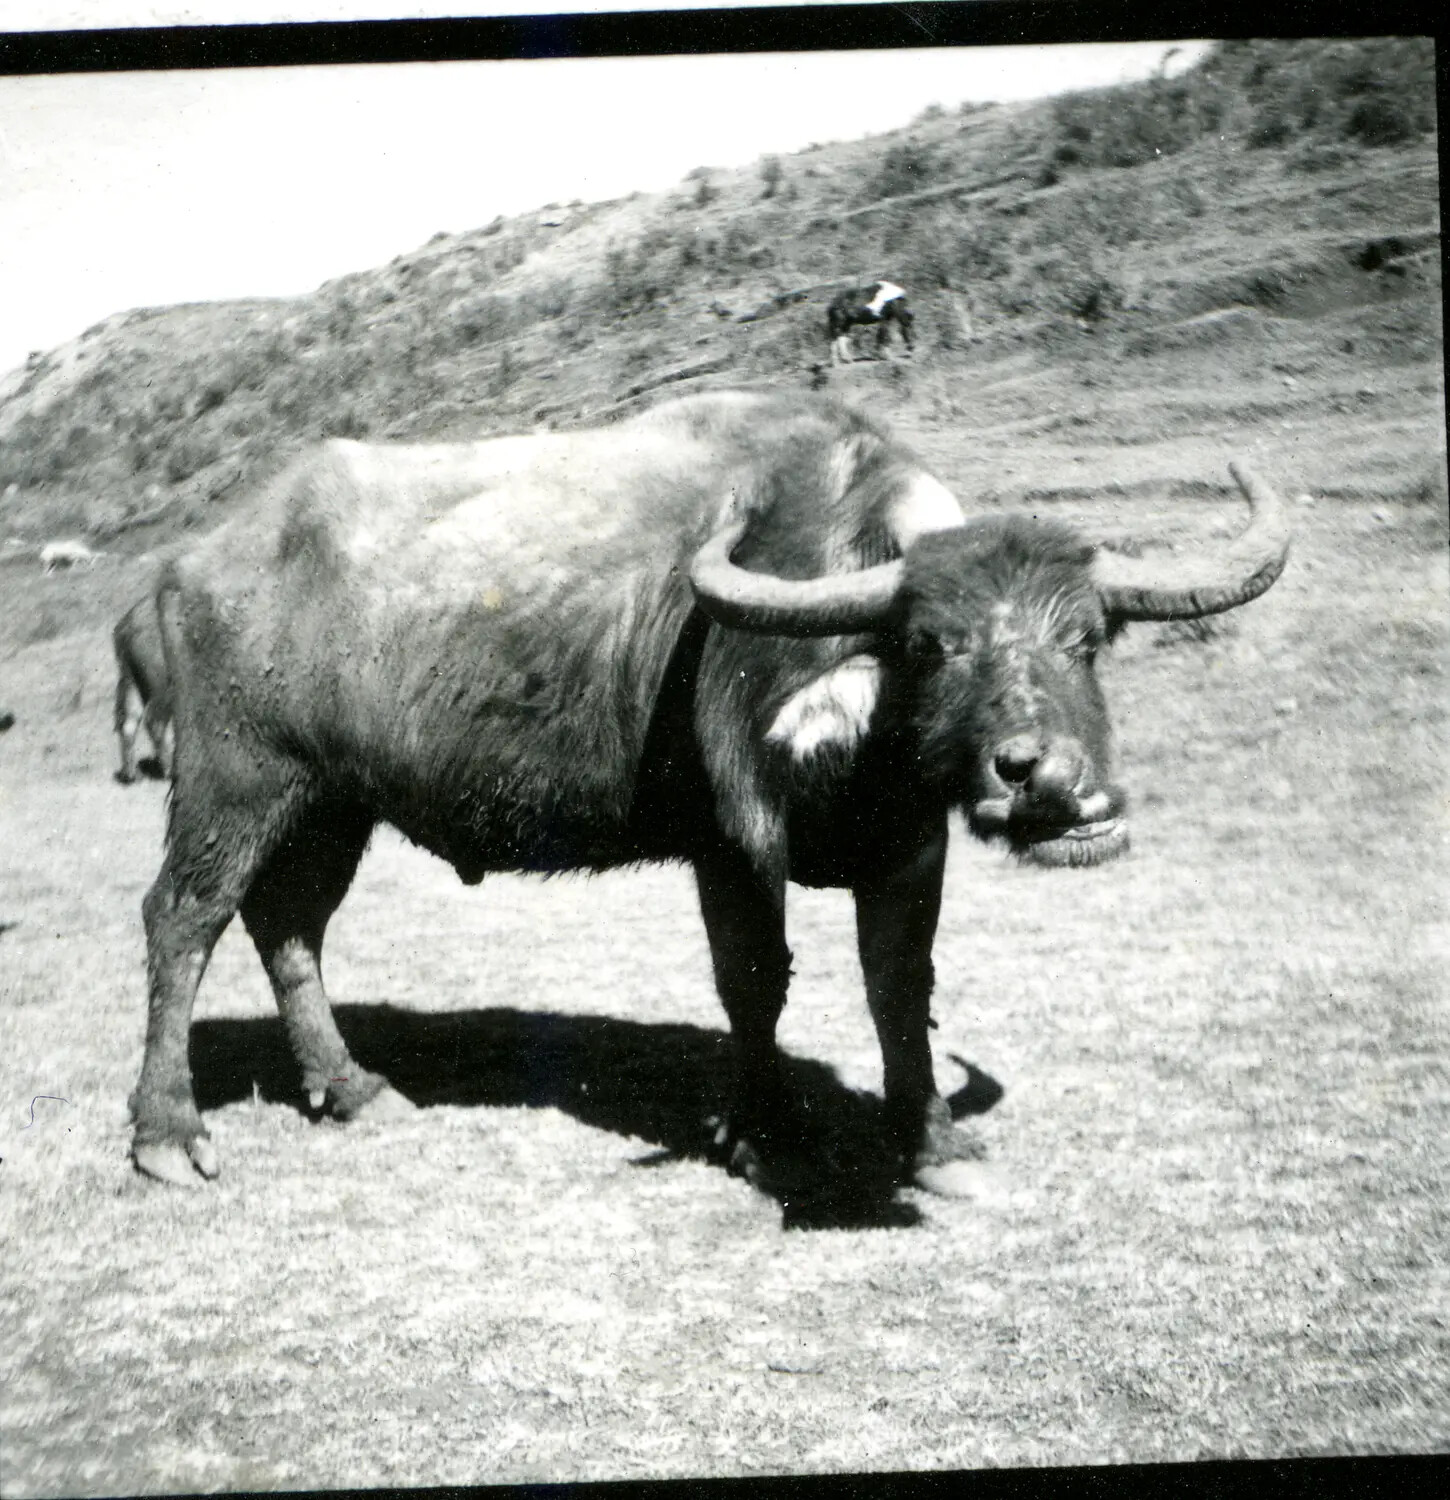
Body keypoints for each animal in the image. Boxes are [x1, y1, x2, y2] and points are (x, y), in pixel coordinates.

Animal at [113, 595, 174, 784]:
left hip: (131, 680)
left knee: (129, 722)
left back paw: (131, 775)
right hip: (162, 684)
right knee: (155, 723)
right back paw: (170, 770)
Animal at [129, 391, 1289, 1192]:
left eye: (1087, 640)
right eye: (929, 644)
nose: (1045, 779)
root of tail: (186, 565)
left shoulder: (911, 848)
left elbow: (898, 984)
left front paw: (929, 1141)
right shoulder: (732, 843)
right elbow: (755, 982)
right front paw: (760, 1134)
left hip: (332, 802)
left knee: (289, 927)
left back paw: (354, 1089)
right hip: (234, 780)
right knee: (184, 918)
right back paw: (168, 1136)